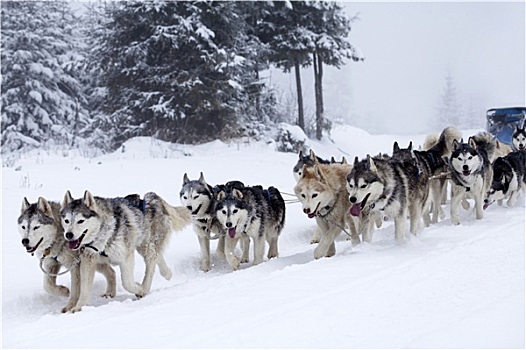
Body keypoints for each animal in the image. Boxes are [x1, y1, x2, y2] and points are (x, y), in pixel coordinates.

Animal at [60, 190, 191, 314]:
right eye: (66, 221)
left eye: (80, 221)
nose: (68, 235)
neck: (104, 233)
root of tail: (153, 198)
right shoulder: (88, 260)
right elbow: (84, 289)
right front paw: (78, 307)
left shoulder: (126, 257)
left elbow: (127, 283)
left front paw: (139, 289)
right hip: (141, 247)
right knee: (157, 257)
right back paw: (167, 273)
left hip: (146, 247)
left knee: (151, 265)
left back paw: (145, 287)